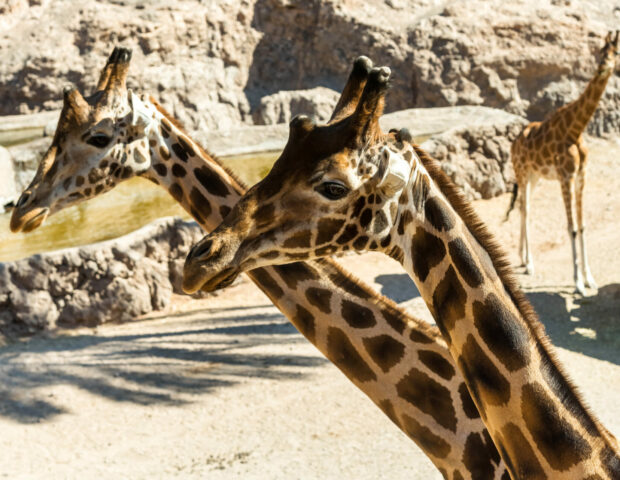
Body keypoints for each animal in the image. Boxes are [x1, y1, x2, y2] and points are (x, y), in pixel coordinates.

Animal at [506, 31, 616, 296]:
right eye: (600, 51)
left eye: (615, 52)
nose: (602, 68)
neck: (575, 129)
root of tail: (514, 143)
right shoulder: (566, 176)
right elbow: (571, 227)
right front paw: (578, 283)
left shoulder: (581, 176)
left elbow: (583, 225)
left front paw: (590, 279)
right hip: (522, 172)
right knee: (526, 209)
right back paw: (530, 264)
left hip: (534, 176)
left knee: (524, 207)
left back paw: (524, 259)